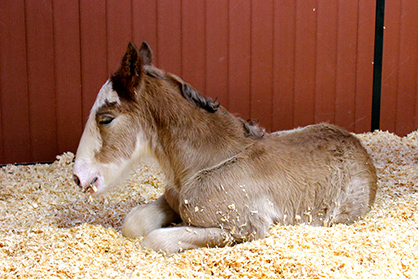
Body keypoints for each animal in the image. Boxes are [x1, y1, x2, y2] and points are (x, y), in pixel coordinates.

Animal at [73, 42, 378, 256]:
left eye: (106, 119)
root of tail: (359, 147)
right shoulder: (173, 199)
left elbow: (155, 240)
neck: (206, 163)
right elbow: (134, 223)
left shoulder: (244, 226)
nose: (78, 177)